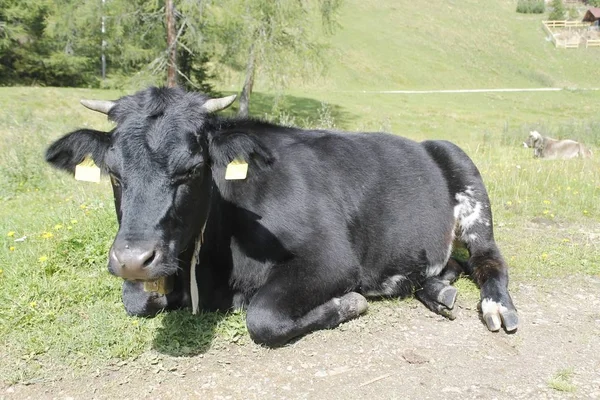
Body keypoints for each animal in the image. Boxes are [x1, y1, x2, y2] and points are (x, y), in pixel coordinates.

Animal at [45, 87, 516, 346]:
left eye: (193, 169)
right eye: (114, 174)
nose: (132, 259)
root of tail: (427, 142)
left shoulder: (332, 259)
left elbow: (263, 316)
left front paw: (347, 303)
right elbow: (137, 300)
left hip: (470, 187)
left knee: (488, 260)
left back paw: (497, 307)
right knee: (449, 266)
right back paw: (434, 290)